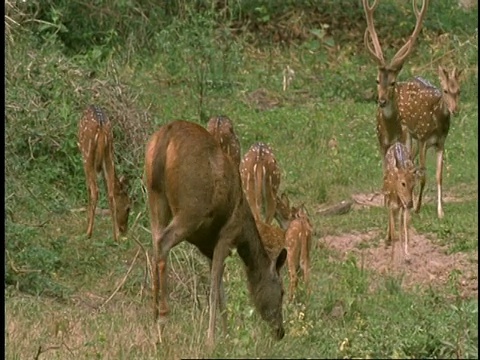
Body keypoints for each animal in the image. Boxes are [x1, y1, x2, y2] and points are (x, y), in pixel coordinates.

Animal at [78, 104, 131, 242]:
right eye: (128, 208)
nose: (124, 230)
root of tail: (101, 128)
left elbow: (88, 188)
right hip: (109, 153)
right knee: (110, 192)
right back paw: (116, 237)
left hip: (87, 154)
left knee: (94, 190)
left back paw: (88, 232)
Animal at [144, 120, 286, 346]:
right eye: (281, 291)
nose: (281, 331)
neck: (245, 230)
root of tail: (166, 136)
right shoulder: (227, 235)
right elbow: (214, 287)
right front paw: (212, 339)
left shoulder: (209, 247)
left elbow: (220, 289)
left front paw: (227, 336)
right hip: (192, 207)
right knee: (163, 242)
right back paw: (163, 318)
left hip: (155, 198)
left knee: (155, 244)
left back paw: (154, 318)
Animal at [364, 0, 432, 166]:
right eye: (377, 80)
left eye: (393, 82)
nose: (382, 101)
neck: (392, 133)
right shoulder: (381, 145)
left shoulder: (406, 140)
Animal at [398, 65, 462, 218]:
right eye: (445, 90)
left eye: (459, 90)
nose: (455, 110)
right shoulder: (423, 140)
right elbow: (423, 176)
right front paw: (417, 208)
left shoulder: (441, 143)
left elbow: (439, 176)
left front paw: (440, 212)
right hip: (406, 130)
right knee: (407, 162)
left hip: (415, 138)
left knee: (411, 161)